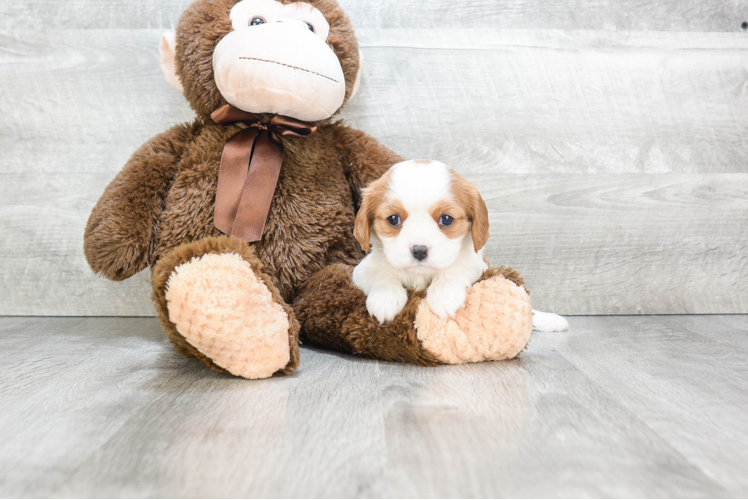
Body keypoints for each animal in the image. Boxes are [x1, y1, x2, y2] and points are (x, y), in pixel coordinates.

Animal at [350, 160, 568, 332]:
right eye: (393, 219)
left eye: (446, 219)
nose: (419, 251)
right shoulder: (362, 270)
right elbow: (382, 276)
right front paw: (385, 299)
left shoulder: (478, 265)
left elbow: (453, 269)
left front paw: (443, 295)